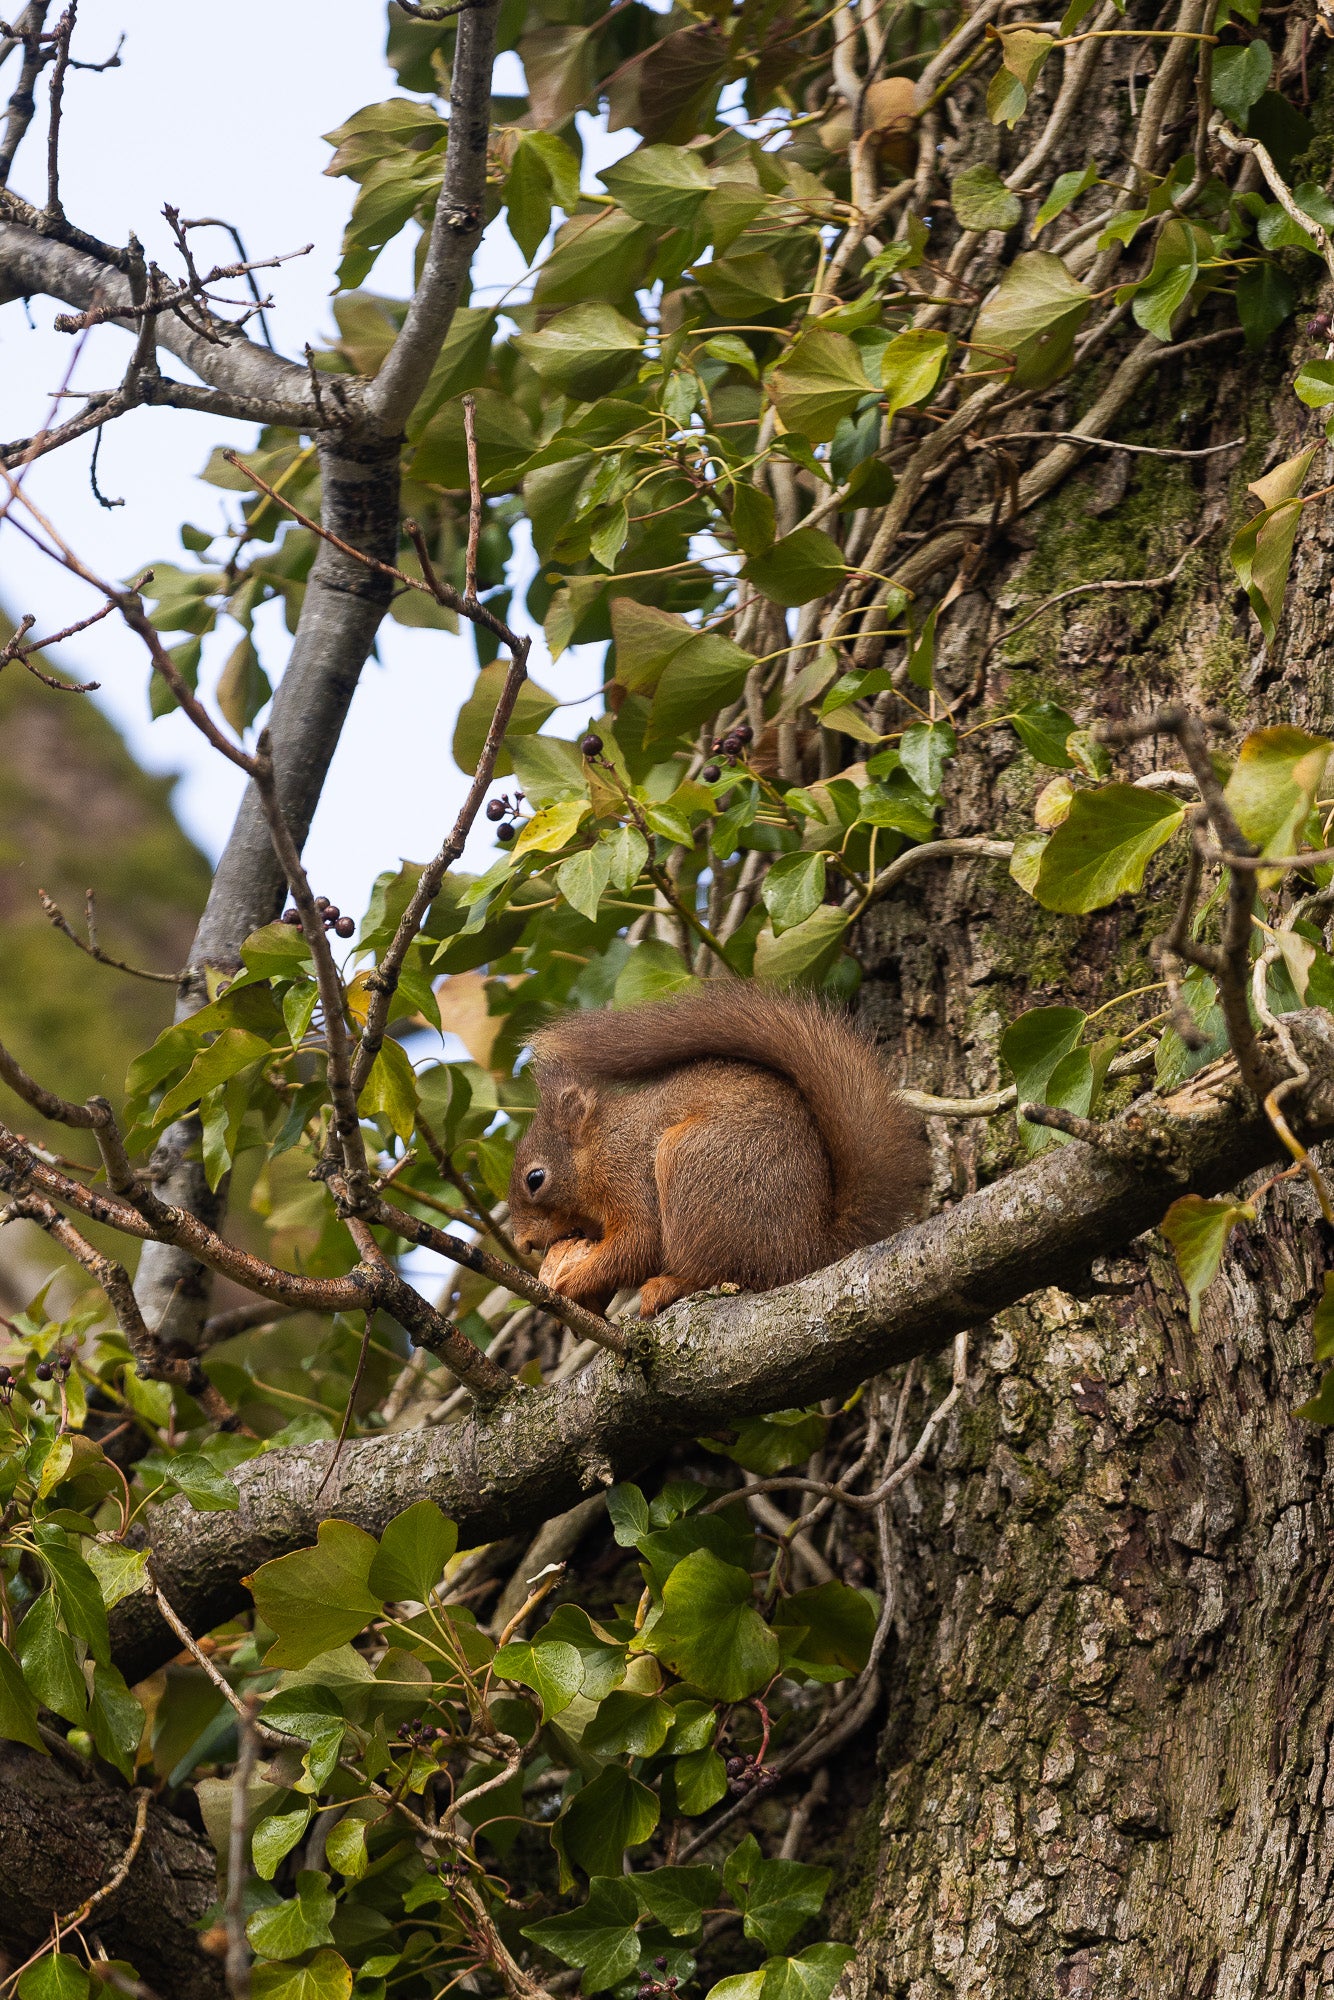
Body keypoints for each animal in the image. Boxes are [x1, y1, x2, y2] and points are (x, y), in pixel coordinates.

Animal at [507, 984, 930, 1317]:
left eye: (535, 1178)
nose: (523, 1244)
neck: (599, 1147)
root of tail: (813, 1250)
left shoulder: (627, 1176)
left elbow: (640, 1243)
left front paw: (571, 1283)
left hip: (692, 1164)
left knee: (717, 1273)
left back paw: (673, 1285)